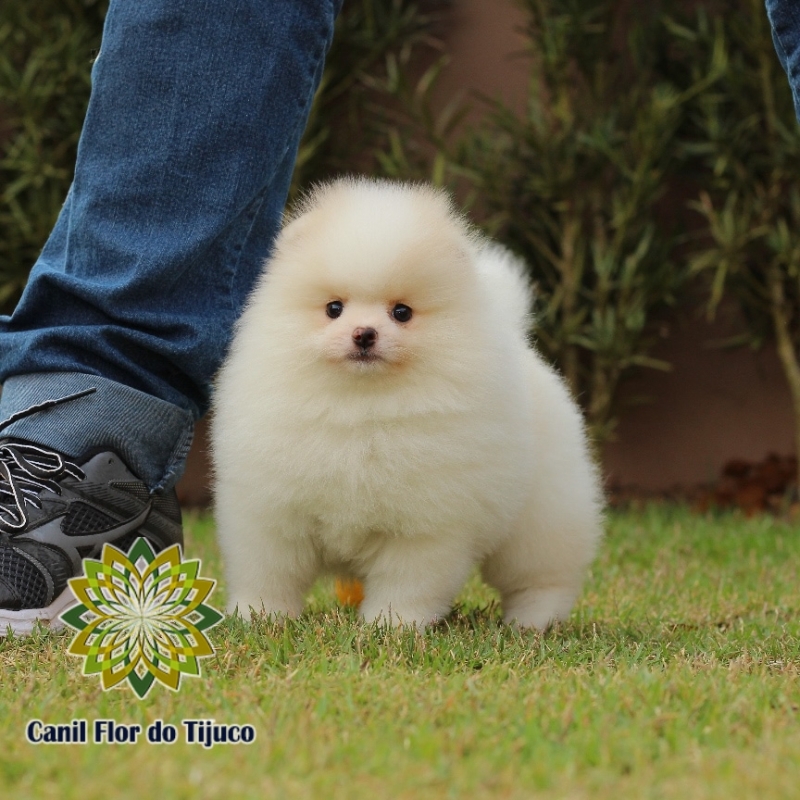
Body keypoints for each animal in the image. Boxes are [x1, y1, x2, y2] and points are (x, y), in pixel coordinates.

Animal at [211, 177, 600, 632]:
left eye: (402, 312)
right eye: (333, 308)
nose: (364, 334)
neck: (361, 408)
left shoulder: (423, 525)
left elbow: (408, 580)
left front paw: (394, 624)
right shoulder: (271, 513)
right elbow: (269, 572)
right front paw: (260, 617)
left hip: (540, 518)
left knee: (541, 577)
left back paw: (533, 621)